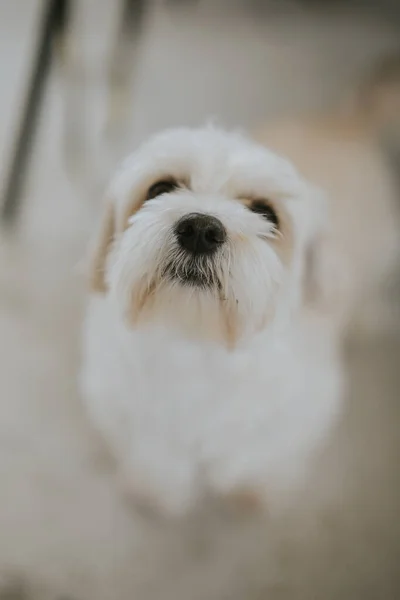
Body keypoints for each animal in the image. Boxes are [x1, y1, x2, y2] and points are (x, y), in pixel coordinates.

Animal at [79, 125, 342, 516]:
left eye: (267, 213)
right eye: (160, 188)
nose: (200, 229)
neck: (200, 346)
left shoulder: (299, 416)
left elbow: (261, 454)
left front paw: (252, 489)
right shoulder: (131, 407)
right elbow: (158, 449)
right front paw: (157, 491)